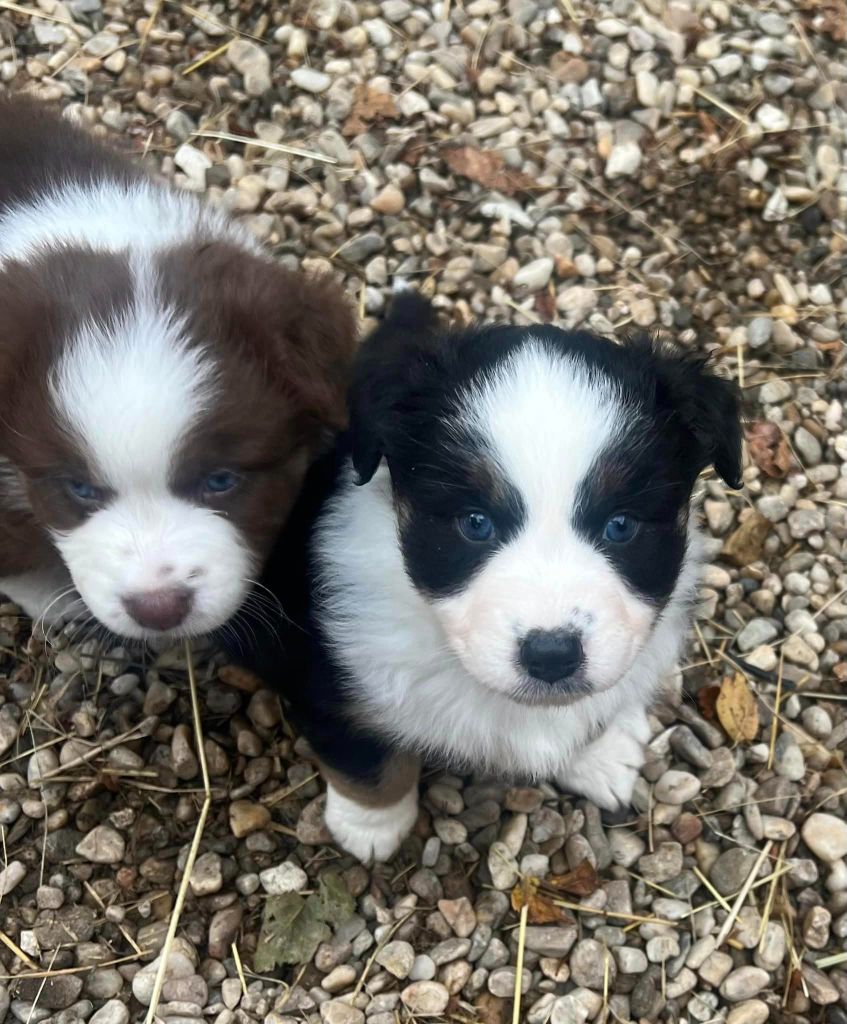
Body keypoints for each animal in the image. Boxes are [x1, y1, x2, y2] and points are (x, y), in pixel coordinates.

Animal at [241, 290, 737, 864]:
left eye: (621, 525)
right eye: (475, 523)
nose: (551, 655)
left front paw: (601, 757)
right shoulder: (333, 682)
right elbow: (366, 763)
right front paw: (371, 828)